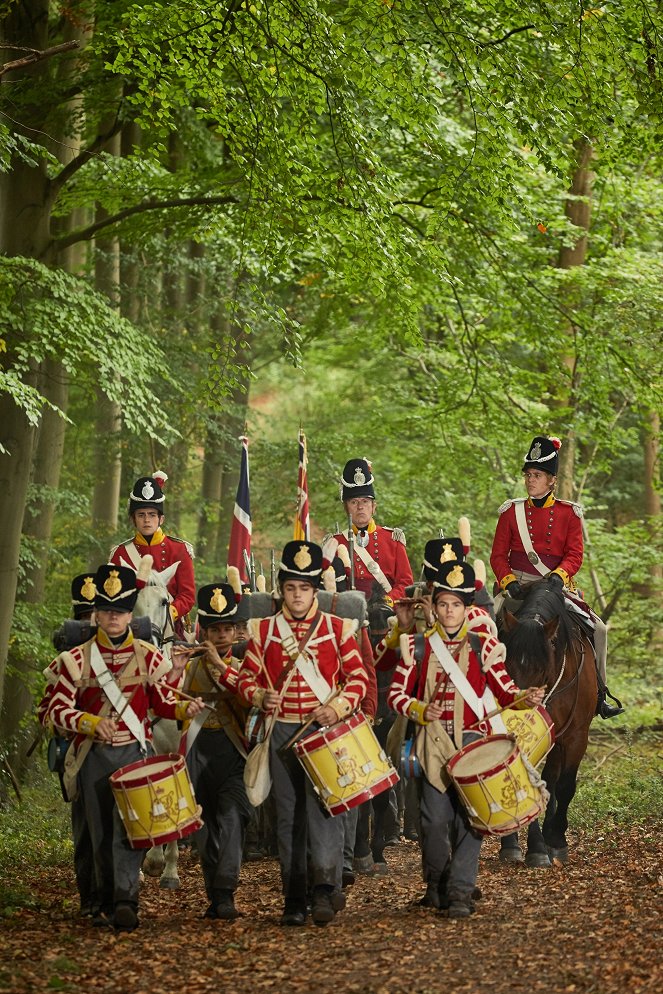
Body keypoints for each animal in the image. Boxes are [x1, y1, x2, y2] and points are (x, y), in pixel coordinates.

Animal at [500, 576, 600, 864]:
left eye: (541, 669)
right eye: (507, 664)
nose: (517, 716)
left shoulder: (576, 735)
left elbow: (564, 785)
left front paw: (555, 839)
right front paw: (535, 847)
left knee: (553, 779)